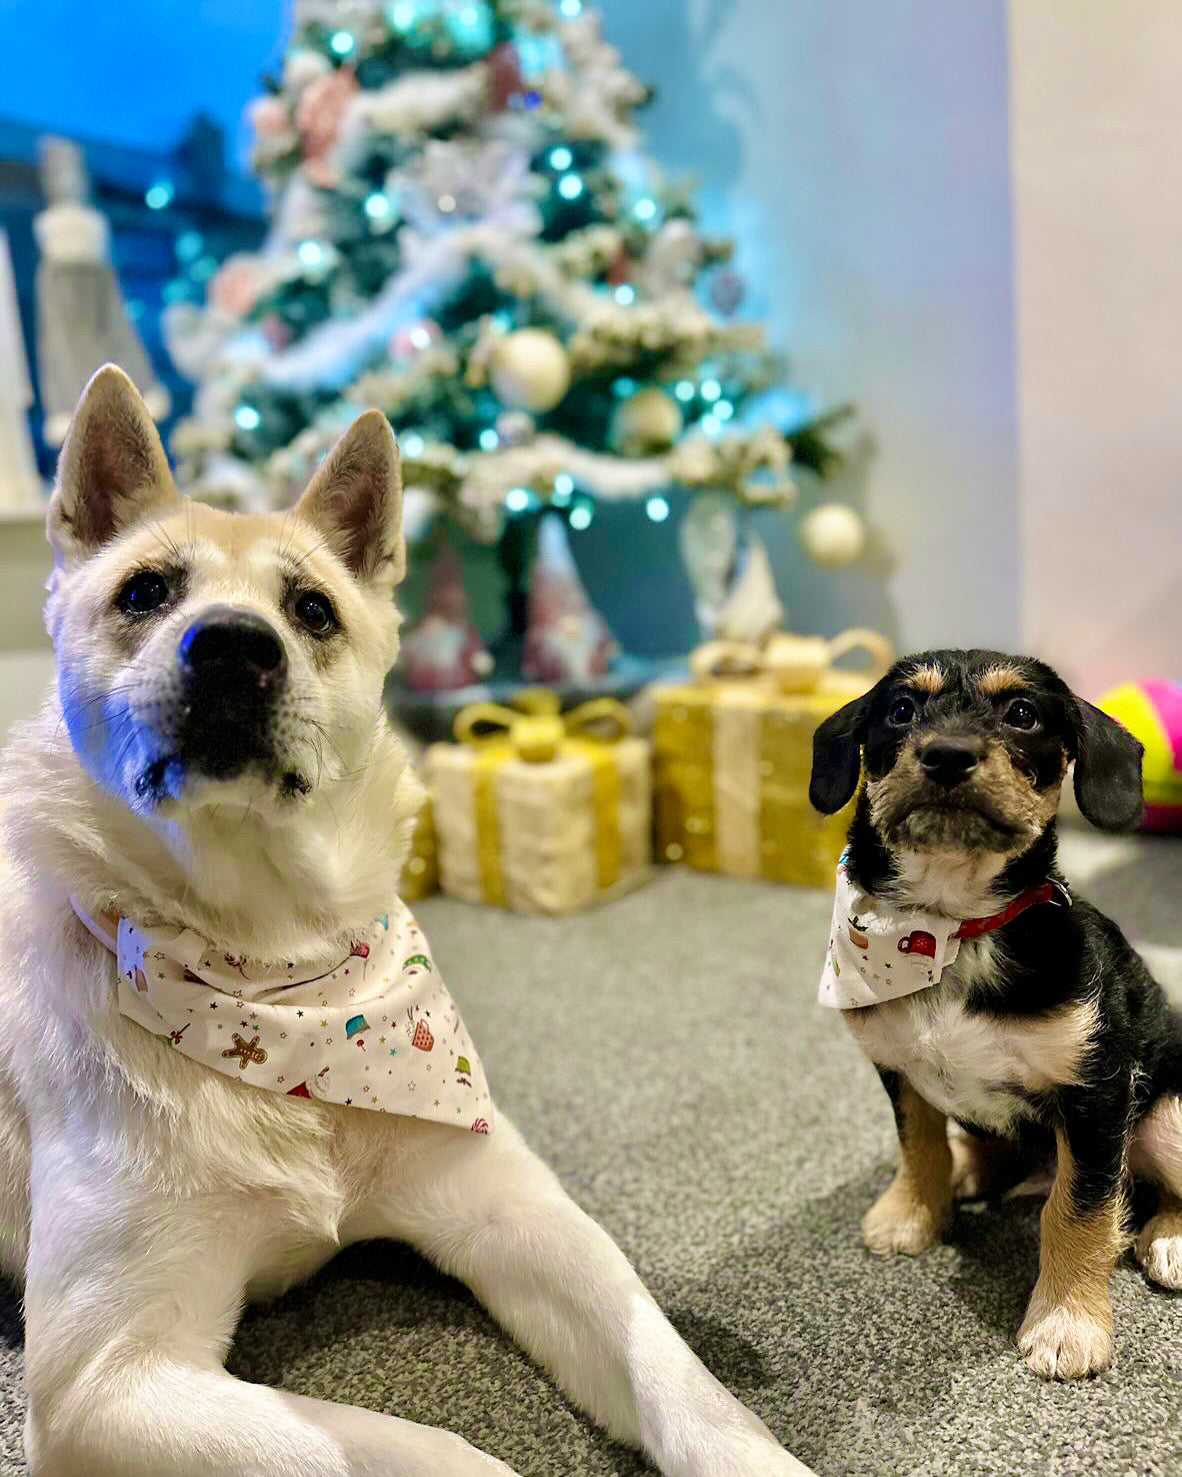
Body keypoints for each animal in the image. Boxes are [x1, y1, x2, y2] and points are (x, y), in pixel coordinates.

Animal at [0, 366, 815, 1477]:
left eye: (310, 608)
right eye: (145, 593)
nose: (233, 651)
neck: (275, 970)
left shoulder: (521, 1212)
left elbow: (680, 1378)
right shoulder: (102, 1381)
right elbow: (430, 1452)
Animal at [809, 652, 1182, 1376]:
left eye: (1023, 713)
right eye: (900, 710)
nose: (948, 755)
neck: (950, 931)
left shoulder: (1096, 1093)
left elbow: (1079, 1210)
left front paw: (1066, 1324)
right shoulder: (899, 1069)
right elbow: (918, 1143)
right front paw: (911, 1214)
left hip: (1170, 1114)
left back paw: (1170, 1238)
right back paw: (973, 1166)